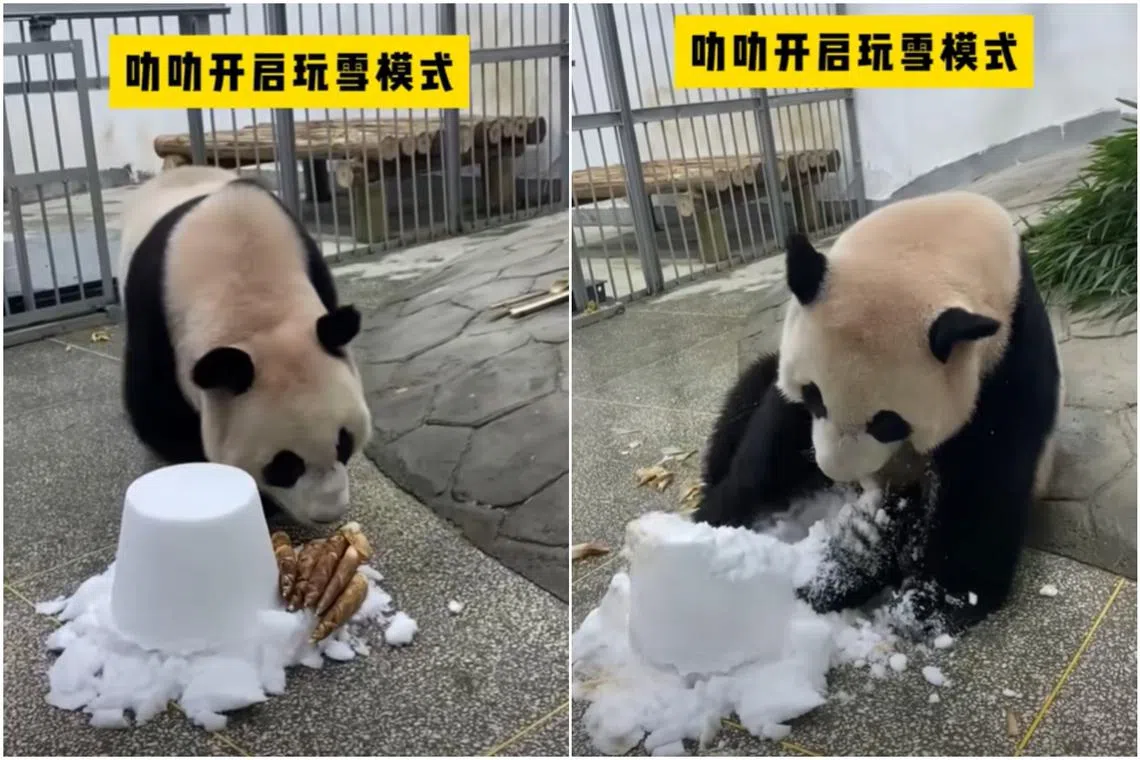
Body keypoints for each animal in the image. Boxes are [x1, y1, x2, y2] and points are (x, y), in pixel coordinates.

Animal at [117, 165, 372, 527]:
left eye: (344, 442)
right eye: (285, 465)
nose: (328, 514)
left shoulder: (311, 265)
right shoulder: (154, 313)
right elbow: (157, 411)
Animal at [694, 190, 1064, 639]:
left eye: (888, 422)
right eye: (814, 397)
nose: (837, 471)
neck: (930, 239)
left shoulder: (1006, 354)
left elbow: (988, 471)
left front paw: (935, 601)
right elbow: (774, 438)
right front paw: (715, 521)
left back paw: (841, 573)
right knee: (745, 395)